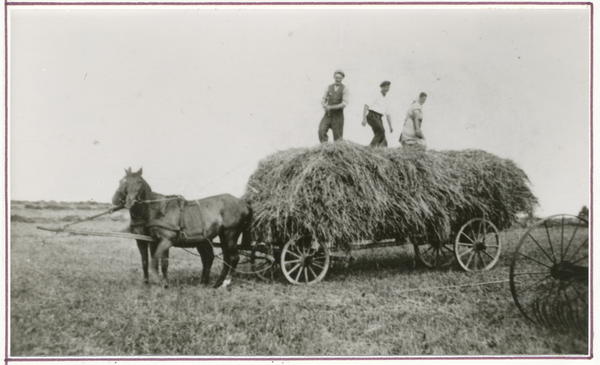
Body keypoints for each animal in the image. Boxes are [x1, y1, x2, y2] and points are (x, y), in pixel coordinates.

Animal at [119, 166, 253, 288]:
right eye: (124, 182)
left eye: (139, 182)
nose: (129, 202)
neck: (160, 209)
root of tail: (243, 203)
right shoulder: (157, 241)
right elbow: (159, 262)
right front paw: (162, 282)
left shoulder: (166, 240)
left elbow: (155, 261)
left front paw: (160, 282)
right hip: (222, 235)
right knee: (226, 258)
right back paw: (216, 283)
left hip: (231, 233)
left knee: (234, 257)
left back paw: (226, 283)